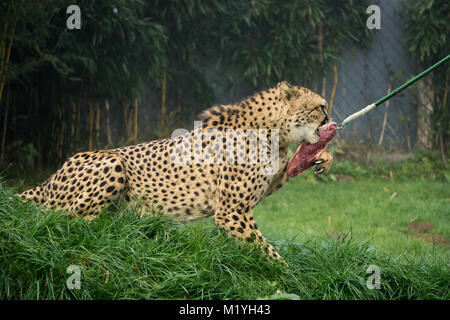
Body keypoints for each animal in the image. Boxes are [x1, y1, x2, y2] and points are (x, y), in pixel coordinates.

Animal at [18, 80, 334, 260]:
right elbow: (267, 252)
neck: (275, 131)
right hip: (111, 162)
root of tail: (47, 180)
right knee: (66, 218)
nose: (331, 119)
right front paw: (288, 278)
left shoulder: (258, 190)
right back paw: (122, 227)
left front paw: (324, 157)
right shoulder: (231, 211)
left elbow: (286, 171)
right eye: (320, 107)